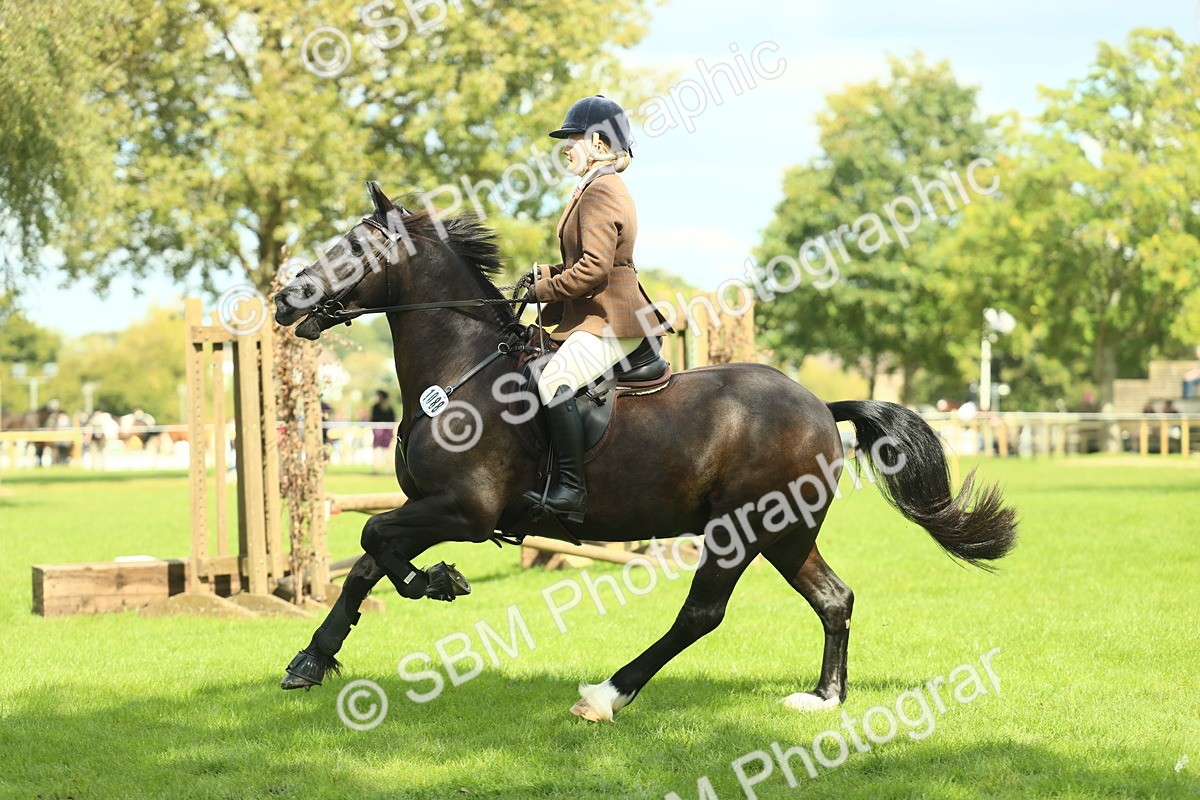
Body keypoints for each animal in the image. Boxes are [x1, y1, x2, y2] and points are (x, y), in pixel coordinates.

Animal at [272, 182, 1017, 721]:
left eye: (354, 248)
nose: (286, 299)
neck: (463, 371)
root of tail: (817, 405)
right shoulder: (427, 505)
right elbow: (366, 564)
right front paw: (311, 659)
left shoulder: (466, 511)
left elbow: (374, 538)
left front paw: (439, 582)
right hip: (786, 532)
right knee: (834, 598)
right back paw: (823, 698)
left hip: (741, 529)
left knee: (702, 613)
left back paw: (607, 695)